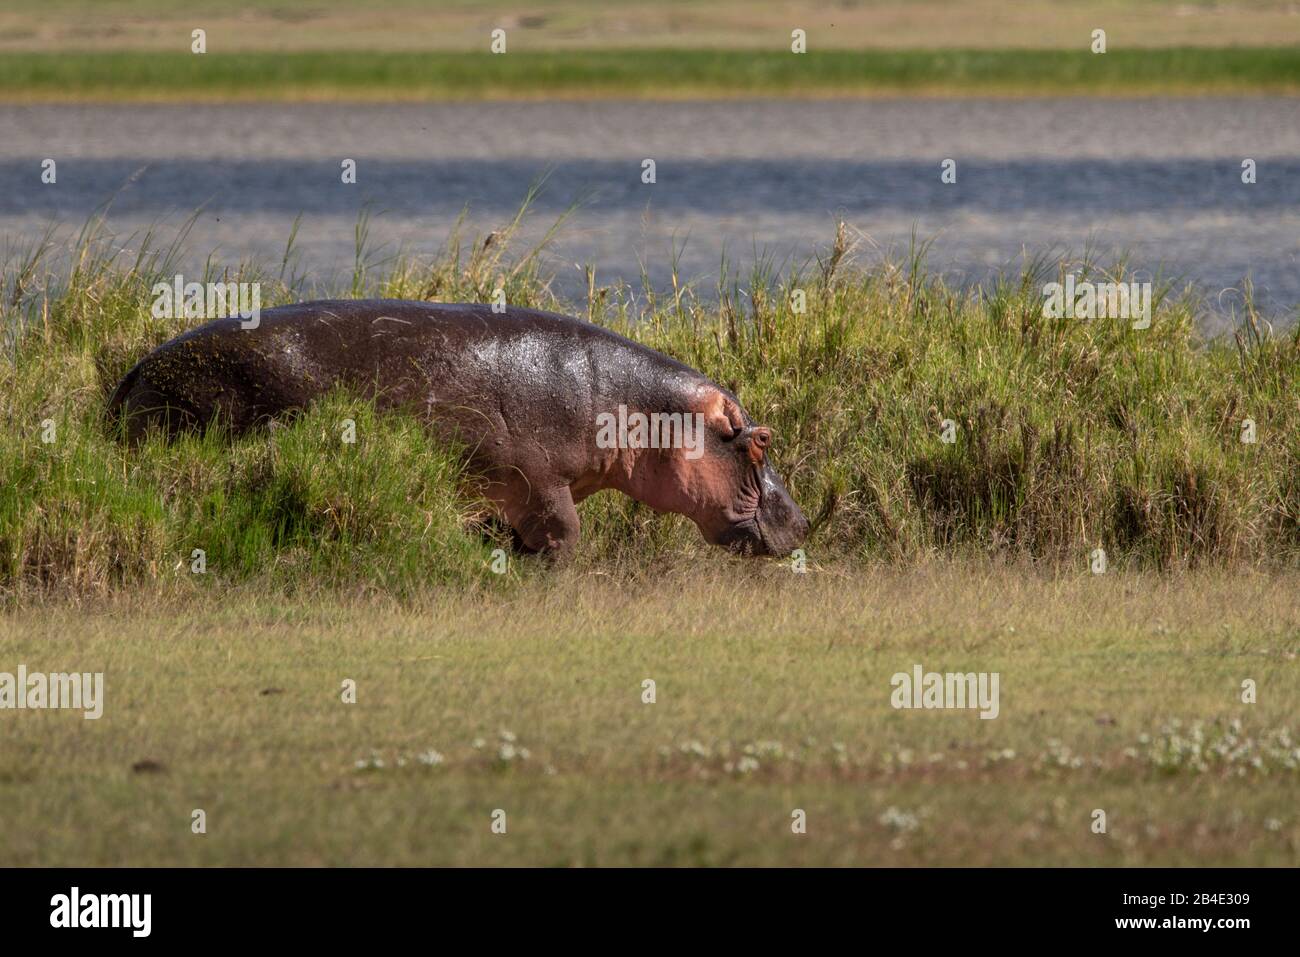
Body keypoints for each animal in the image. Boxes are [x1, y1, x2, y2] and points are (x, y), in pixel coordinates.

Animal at [106, 295, 806, 556]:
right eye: (760, 442)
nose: (803, 522)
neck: (641, 407)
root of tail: (135, 369)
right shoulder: (544, 484)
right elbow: (565, 535)